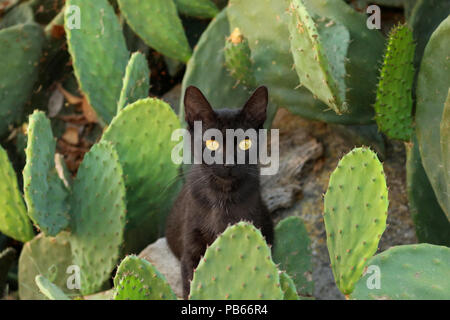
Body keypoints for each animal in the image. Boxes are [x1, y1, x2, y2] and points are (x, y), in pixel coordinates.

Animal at [163, 85, 272, 300]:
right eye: (212, 143)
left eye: (246, 143)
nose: (229, 163)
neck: (223, 198)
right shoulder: (190, 250)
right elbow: (189, 286)